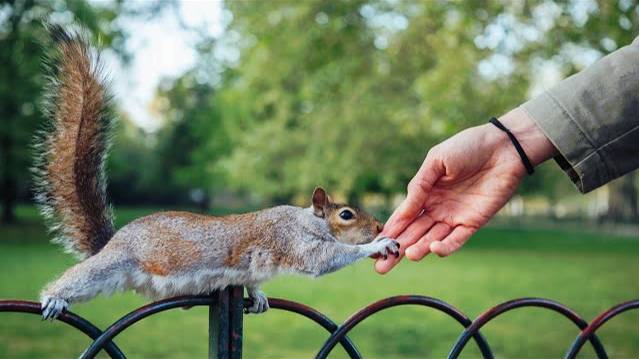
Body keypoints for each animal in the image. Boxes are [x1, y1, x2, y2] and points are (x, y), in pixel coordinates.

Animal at [36, 26, 400, 322]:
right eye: (346, 214)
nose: (379, 226)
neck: (306, 220)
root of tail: (109, 242)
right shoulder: (292, 241)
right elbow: (326, 258)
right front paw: (376, 245)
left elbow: (252, 280)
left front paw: (258, 296)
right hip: (112, 264)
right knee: (79, 278)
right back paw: (54, 298)